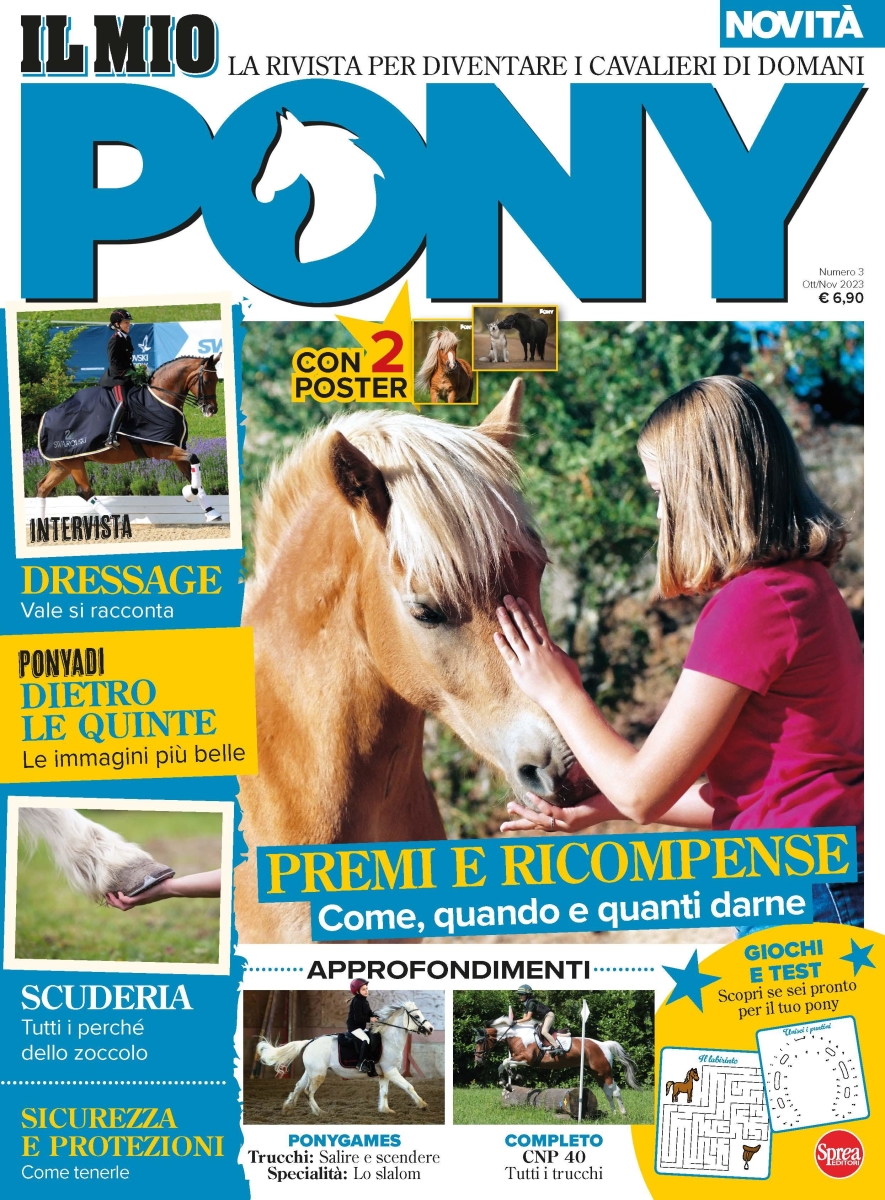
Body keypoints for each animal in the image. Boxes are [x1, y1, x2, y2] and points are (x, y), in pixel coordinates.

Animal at [34, 354, 222, 524]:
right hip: (74, 462)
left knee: (43, 487)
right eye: (207, 381)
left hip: (63, 464)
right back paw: (111, 519)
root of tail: (45, 417)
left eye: (216, 379)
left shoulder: (174, 447)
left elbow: (193, 474)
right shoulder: (162, 449)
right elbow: (194, 459)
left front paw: (211, 511)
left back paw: (40, 523)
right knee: (84, 490)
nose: (212, 409)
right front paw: (189, 494)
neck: (160, 401)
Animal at [256, 1002, 433, 1116]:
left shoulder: (384, 1074)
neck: (389, 1040)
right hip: (319, 1074)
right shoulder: (391, 1071)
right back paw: (319, 1112)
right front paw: (422, 1104)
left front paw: (385, 1110)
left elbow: (384, 1092)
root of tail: (310, 1041)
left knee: (299, 1087)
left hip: (311, 1072)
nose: (431, 1029)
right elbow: (409, 1086)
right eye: (417, 1016)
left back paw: (288, 1108)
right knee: (308, 1091)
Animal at [474, 1015, 642, 1116]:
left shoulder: (527, 1059)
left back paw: (623, 1114)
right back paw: (614, 1113)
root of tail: (604, 1045)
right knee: (608, 1092)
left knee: (616, 1091)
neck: (518, 1036)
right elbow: (504, 1065)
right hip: (597, 1073)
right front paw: (510, 1080)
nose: (478, 1060)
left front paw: (509, 1082)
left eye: (481, 1041)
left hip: (604, 1071)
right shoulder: (519, 1059)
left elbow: (504, 1062)